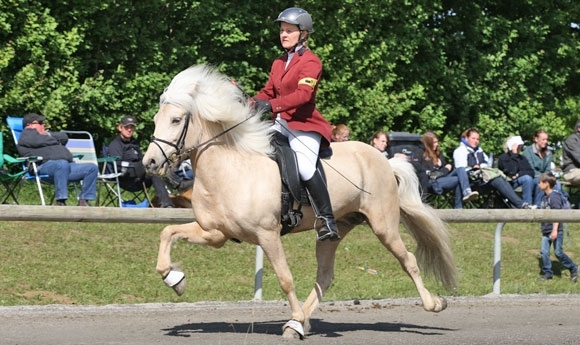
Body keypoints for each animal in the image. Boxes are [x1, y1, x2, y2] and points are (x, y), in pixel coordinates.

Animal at [144, 64, 458, 338]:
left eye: (175, 120)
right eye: (157, 120)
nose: (150, 163)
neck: (230, 169)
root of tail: (384, 159)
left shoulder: (267, 234)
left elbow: (285, 278)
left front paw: (293, 317)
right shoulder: (215, 233)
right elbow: (167, 233)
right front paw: (174, 279)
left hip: (384, 226)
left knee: (409, 261)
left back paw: (434, 303)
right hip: (334, 231)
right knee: (325, 276)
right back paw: (299, 324)